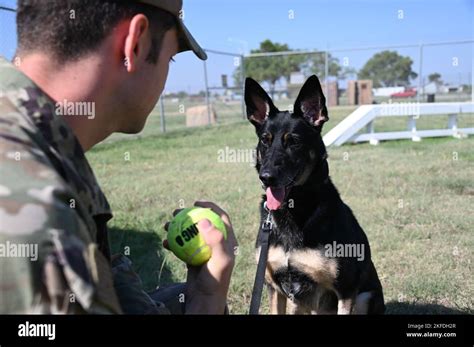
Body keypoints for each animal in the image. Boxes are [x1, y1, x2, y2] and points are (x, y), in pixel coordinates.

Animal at [244, 75, 386, 314]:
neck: (294, 207)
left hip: (366, 296)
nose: (266, 177)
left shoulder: (346, 290)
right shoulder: (274, 287)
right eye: (265, 140)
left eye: (293, 141)